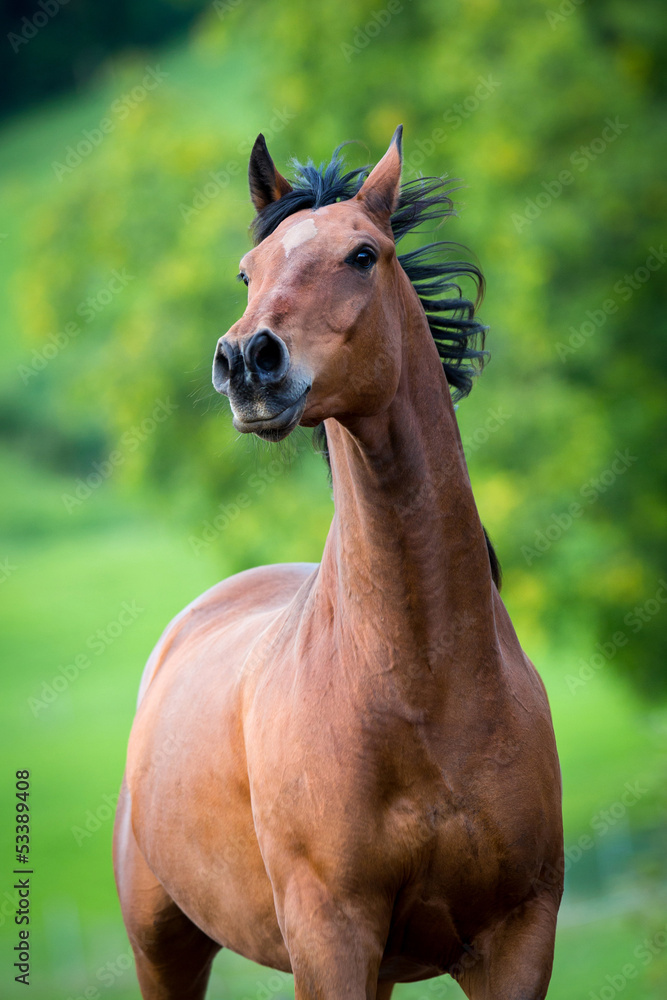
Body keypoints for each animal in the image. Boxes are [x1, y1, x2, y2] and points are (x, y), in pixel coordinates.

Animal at [114, 126, 564, 1000]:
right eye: (248, 272)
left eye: (363, 254)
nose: (246, 361)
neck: (423, 690)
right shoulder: (329, 939)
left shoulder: (517, 938)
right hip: (164, 946)